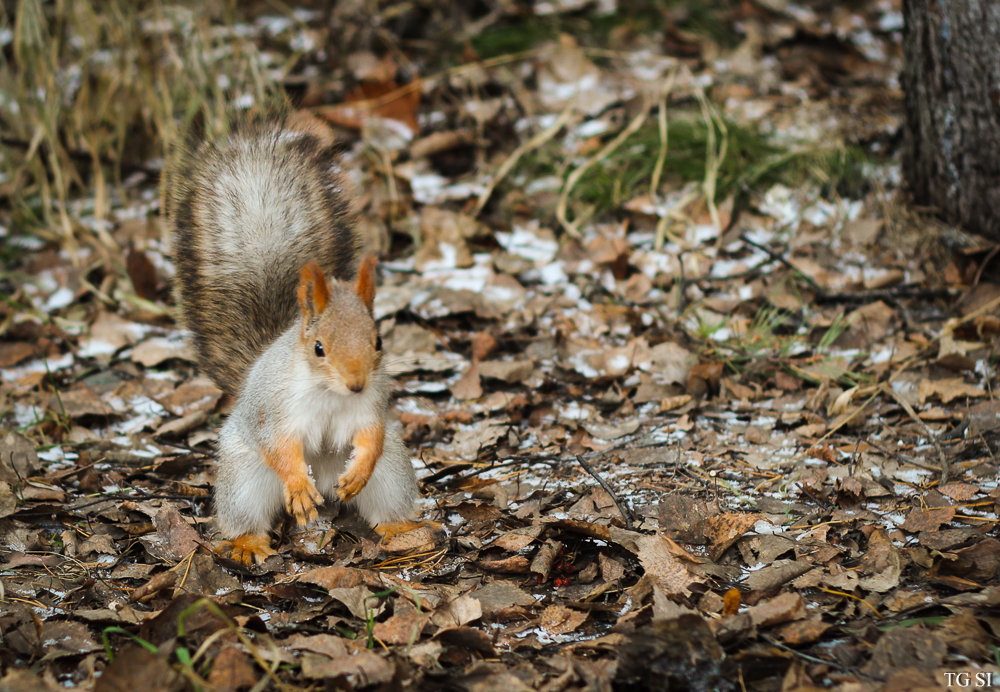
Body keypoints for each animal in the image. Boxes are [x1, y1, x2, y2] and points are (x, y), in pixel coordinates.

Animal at [170, 113, 420, 564]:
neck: (330, 392)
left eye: (378, 342)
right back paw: (248, 541)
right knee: (244, 513)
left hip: (392, 472)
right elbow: (280, 446)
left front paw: (360, 468)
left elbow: (371, 435)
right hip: (244, 478)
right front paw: (298, 487)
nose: (356, 383)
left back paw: (400, 527)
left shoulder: (370, 404)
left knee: (385, 497)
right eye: (319, 348)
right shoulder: (276, 409)